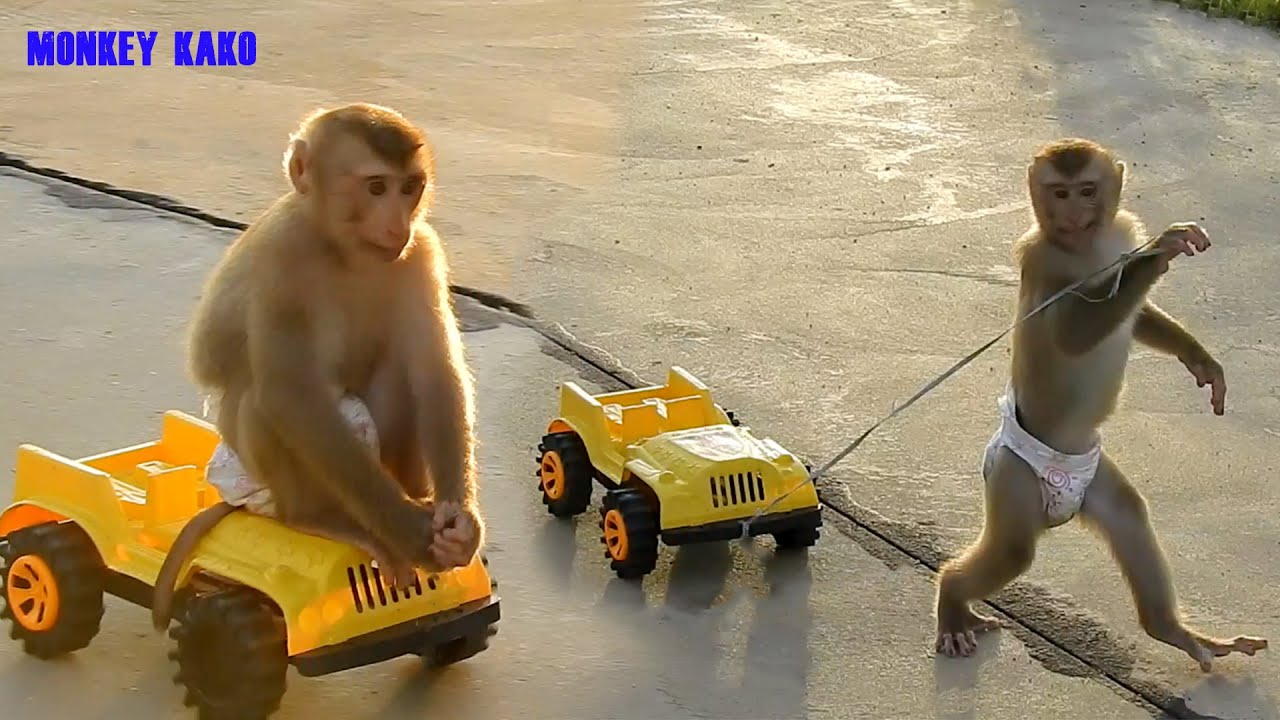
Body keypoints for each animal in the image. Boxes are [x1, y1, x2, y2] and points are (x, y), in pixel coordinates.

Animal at [151, 103, 485, 630]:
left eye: (409, 187)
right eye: (376, 187)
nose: (397, 222)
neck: (341, 250)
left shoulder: (422, 252)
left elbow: (434, 371)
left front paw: (460, 524)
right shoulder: (282, 260)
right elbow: (294, 395)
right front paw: (410, 532)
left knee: (399, 370)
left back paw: (415, 496)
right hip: (249, 480)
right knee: (265, 398)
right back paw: (318, 519)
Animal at [933, 138, 1267, 672]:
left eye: (1087, 190)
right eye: (1060, 192)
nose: (1072, 214)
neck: (1085, 248)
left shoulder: (1116, 232)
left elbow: (1135, 314)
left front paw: (1197, 356)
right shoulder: (1043, 260)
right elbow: (1072, 335)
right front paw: (1159, 253)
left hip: (1093, 480)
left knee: (1128, 515)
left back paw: (1171, 630)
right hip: (1011, 472)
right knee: (1013, 550)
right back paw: (951, 597)